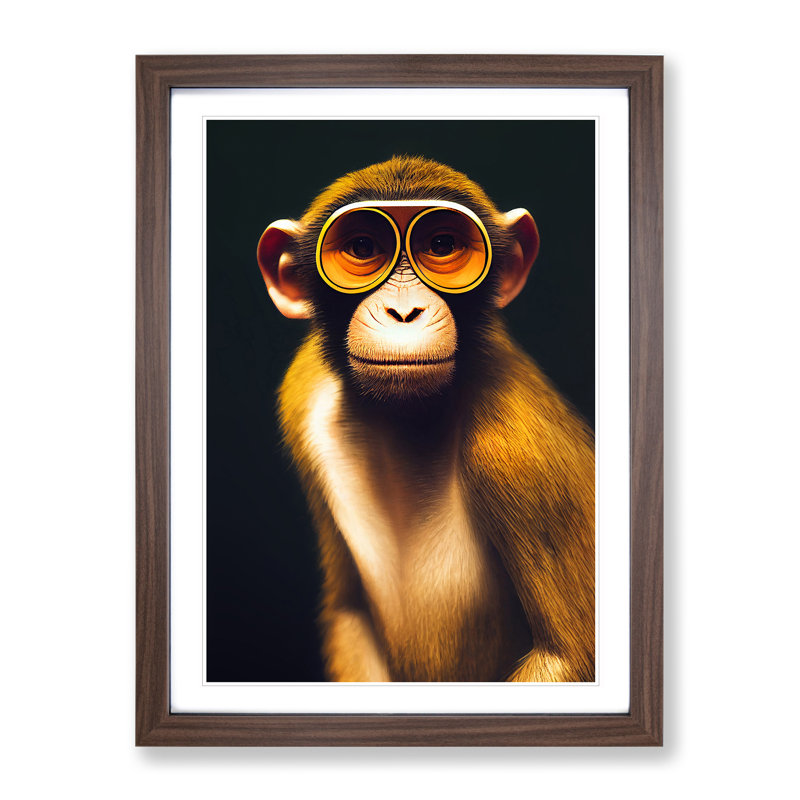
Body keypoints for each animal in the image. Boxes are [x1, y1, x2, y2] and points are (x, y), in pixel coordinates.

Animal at [256, 155, 594, 682]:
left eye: (441, 246)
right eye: (362, 247)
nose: (403, 311)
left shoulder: (516, 452)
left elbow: (567, 656)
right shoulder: (301, 388)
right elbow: (347, 607)